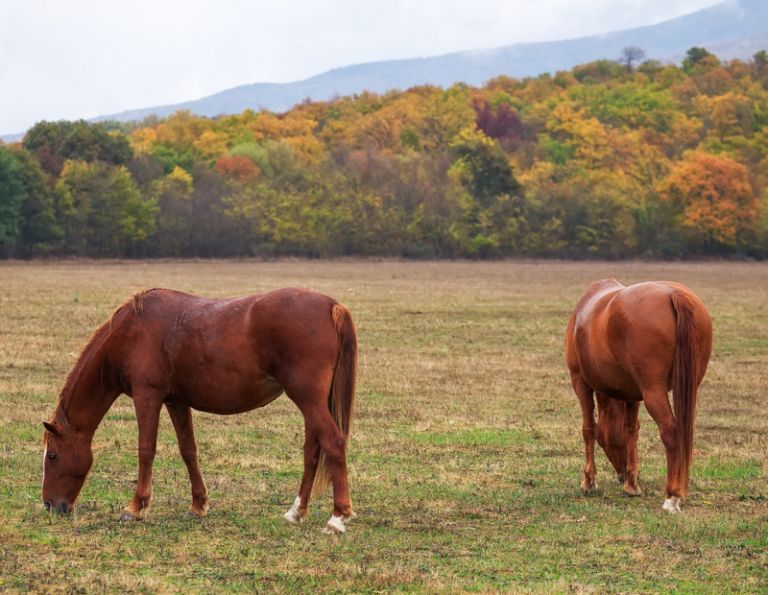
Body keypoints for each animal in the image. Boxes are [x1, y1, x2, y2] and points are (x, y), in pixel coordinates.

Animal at [42, 287, 357, 534]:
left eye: (53, 455)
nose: (49, 505)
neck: (131, 331)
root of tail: (331, 306)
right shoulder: (176, 402)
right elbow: (188, 450)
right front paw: (198, 504)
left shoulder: (147, 396)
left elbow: (146, 449)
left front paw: (135, 507)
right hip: (312, 403)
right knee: (312, 450)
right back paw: (296, 512)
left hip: (308, 399)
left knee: (333, 442)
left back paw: (337, 517)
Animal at [565, 279, 712, 513]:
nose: (621, 474)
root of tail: (675, 294)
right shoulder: (631, 394)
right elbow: (631, 431)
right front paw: (631, 485)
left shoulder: (580, 382)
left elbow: (588, 430)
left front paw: (589, 481)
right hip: (689, 388)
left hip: (653, 392)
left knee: (671, 432)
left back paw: (672, 496)